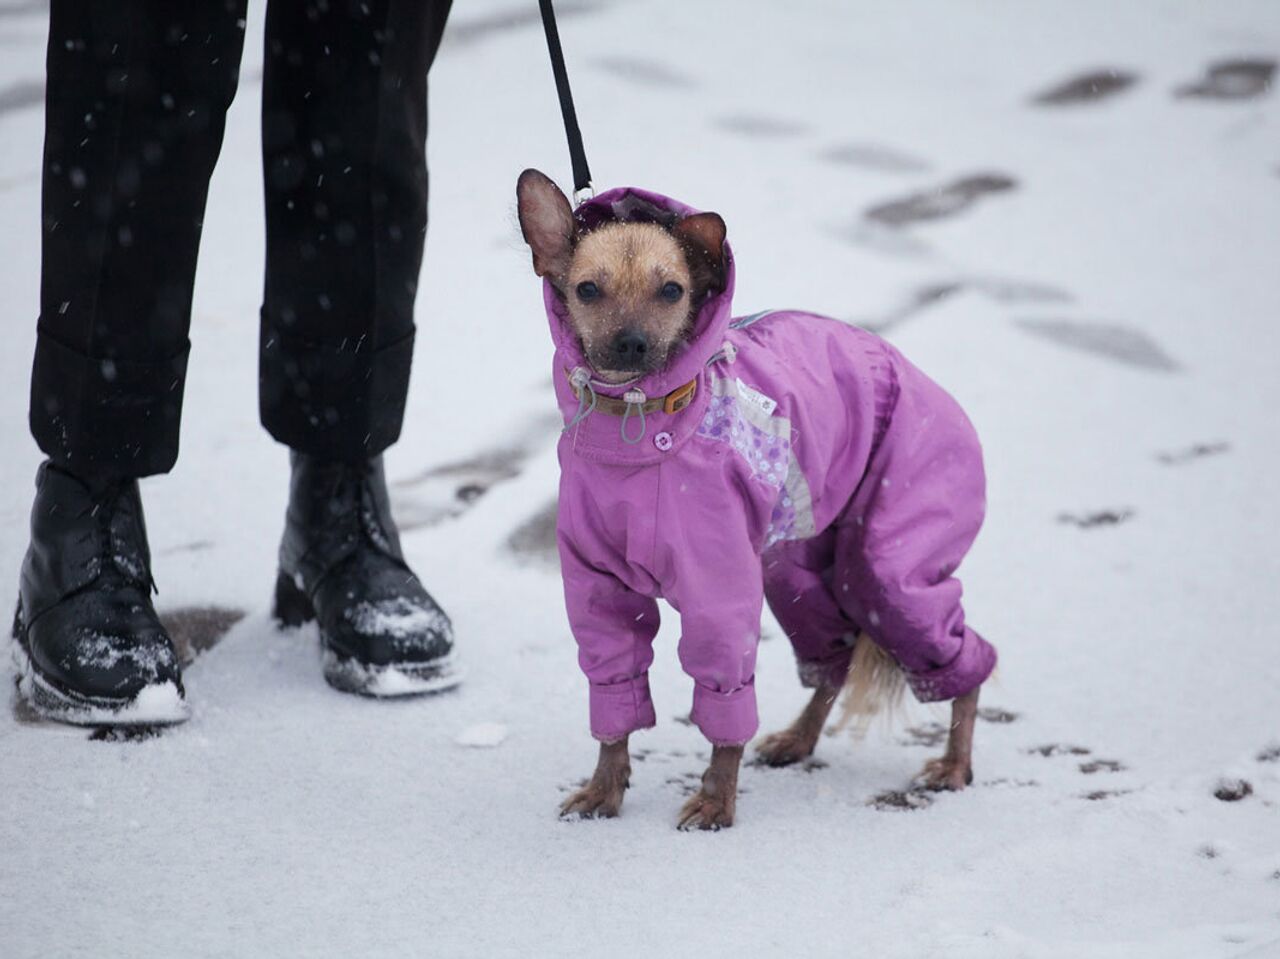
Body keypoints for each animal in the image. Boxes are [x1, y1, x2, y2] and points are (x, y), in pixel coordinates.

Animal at [514, 167, 993, 824]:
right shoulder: (598, 591)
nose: (632, 344)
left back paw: (954, 763)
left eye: (671, 291)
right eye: (587, 289)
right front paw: (605, 789)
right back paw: (799, 739)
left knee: (964, 662)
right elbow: (615, 696)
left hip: (890, 572)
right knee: (835, 660)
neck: (634, 432)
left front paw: (717, 801)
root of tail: (929, 386)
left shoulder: (720, 596)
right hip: (796, 570)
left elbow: (724, 699)